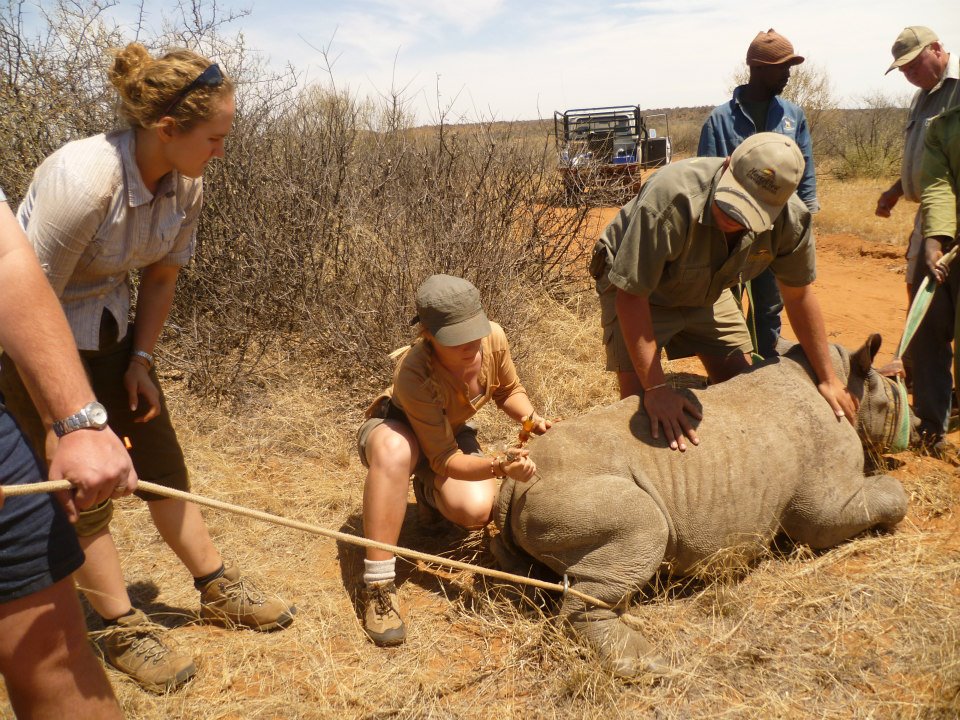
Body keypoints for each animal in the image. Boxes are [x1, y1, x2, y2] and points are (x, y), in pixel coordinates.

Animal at [493, 335, 913, 677]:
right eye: (890, 401)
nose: (918, 425)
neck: (845, 377)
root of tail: (517, 474)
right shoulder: (827, 501)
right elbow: (876, 502)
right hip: (571, 490)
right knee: (645, 527)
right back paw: (646, 665)